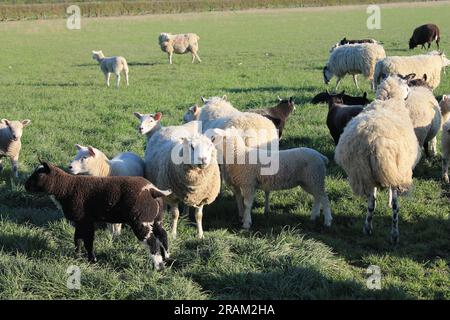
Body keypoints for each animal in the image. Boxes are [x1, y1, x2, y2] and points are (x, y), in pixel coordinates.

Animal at [25, 162, 172, 270]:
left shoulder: (86, 220)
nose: (25, 186)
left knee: (152, 242)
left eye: (38, 175)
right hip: (155, 219)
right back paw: (167, 258)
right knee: (163, 235)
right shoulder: (80, 221)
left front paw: (92, 260)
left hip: (141, 220)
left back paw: (158, 266)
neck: (66, 188)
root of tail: (152, 190)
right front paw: (77, 255)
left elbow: (88, 240)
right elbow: (77, 238)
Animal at [334, 75, 422, 245]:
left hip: (364, 173)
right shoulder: (393, 171)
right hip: (394, 169)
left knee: (371, 202)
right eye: (408, 86)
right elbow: (391, 198)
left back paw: (367, 228)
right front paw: (388, 202)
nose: (408, 95)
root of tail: (375, 140)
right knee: (395, 207)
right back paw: (394, 235)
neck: (389, 99)